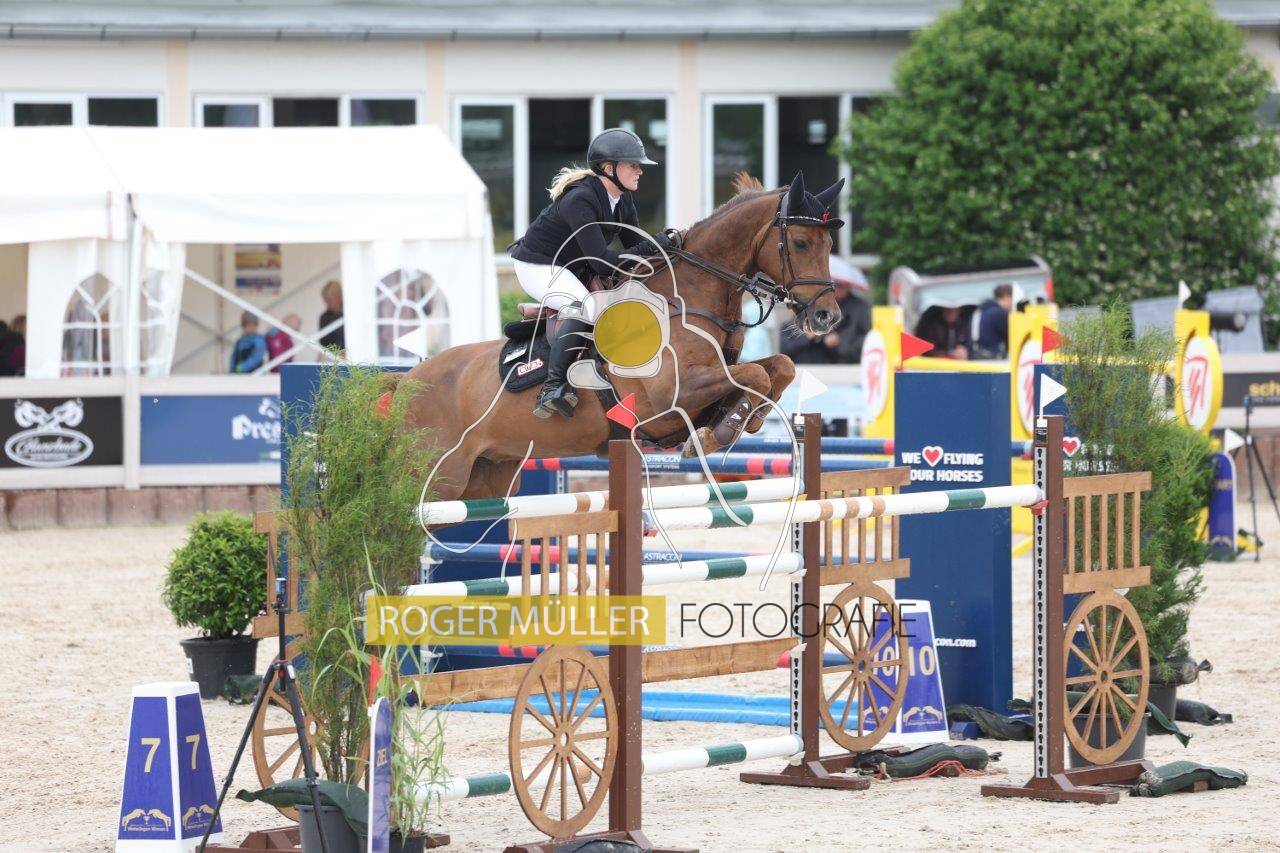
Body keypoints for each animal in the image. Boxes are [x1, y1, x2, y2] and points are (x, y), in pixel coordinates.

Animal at [392, 172, 845, 502]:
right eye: (800, 242)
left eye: (829, 243)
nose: (826, 316)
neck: (687, 299)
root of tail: (405, 381)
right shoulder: (671, 397)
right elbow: (757, 376)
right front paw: (722, 430)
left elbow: (778, 368)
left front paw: (738, 420)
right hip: (439, 479)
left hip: (488, 477)